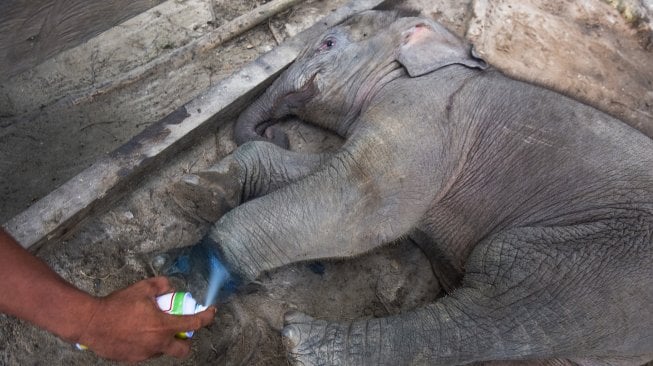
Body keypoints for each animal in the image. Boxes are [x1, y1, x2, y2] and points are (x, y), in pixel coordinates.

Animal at [173, 6, 652, 366]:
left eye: (328, 44)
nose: (278, 131)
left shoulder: (427, 111)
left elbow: (364, 197)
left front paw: (202, 274)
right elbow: (326, 170)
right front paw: (197, 191)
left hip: (606, 256)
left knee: (506, 293)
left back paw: (304, 345)